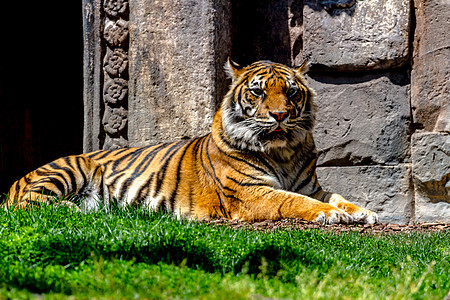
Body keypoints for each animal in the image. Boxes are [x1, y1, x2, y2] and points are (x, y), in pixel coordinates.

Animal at [6, 58, 380, 224]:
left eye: (291, 93)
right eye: (258, 92)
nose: (280, 115)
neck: (283, 152)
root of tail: (15, 180)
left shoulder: (311, 185)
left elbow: (337, 196)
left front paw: (363, 211)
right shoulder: (250, 193)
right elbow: (292, 201)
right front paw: (331, 215)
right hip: (72, 168)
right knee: (28, 204)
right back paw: (71, 209)